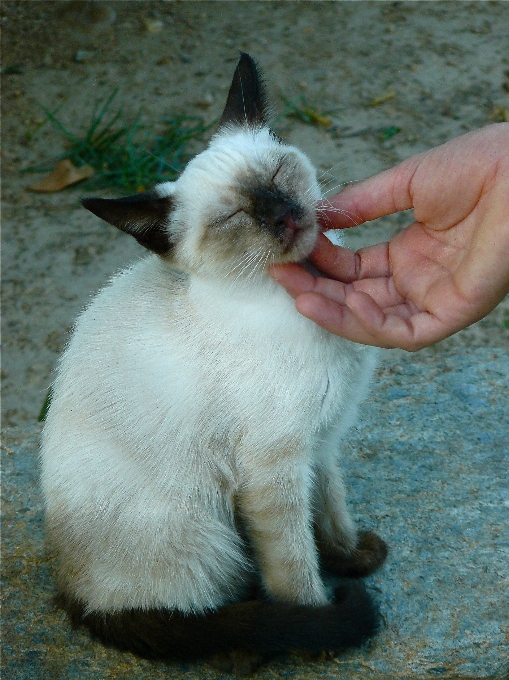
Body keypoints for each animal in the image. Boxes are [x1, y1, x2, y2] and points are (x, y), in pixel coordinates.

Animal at [40, 54, 384, 676]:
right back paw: (250, 645)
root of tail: (75, 598)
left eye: (277, 176)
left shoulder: (321, 442)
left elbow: (330, 511)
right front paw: (321, 626)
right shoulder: (274, 470)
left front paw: (352, 558)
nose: (283, 215)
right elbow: (296, 564)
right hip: (207, 526)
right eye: (234, 217)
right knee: (195, 620)